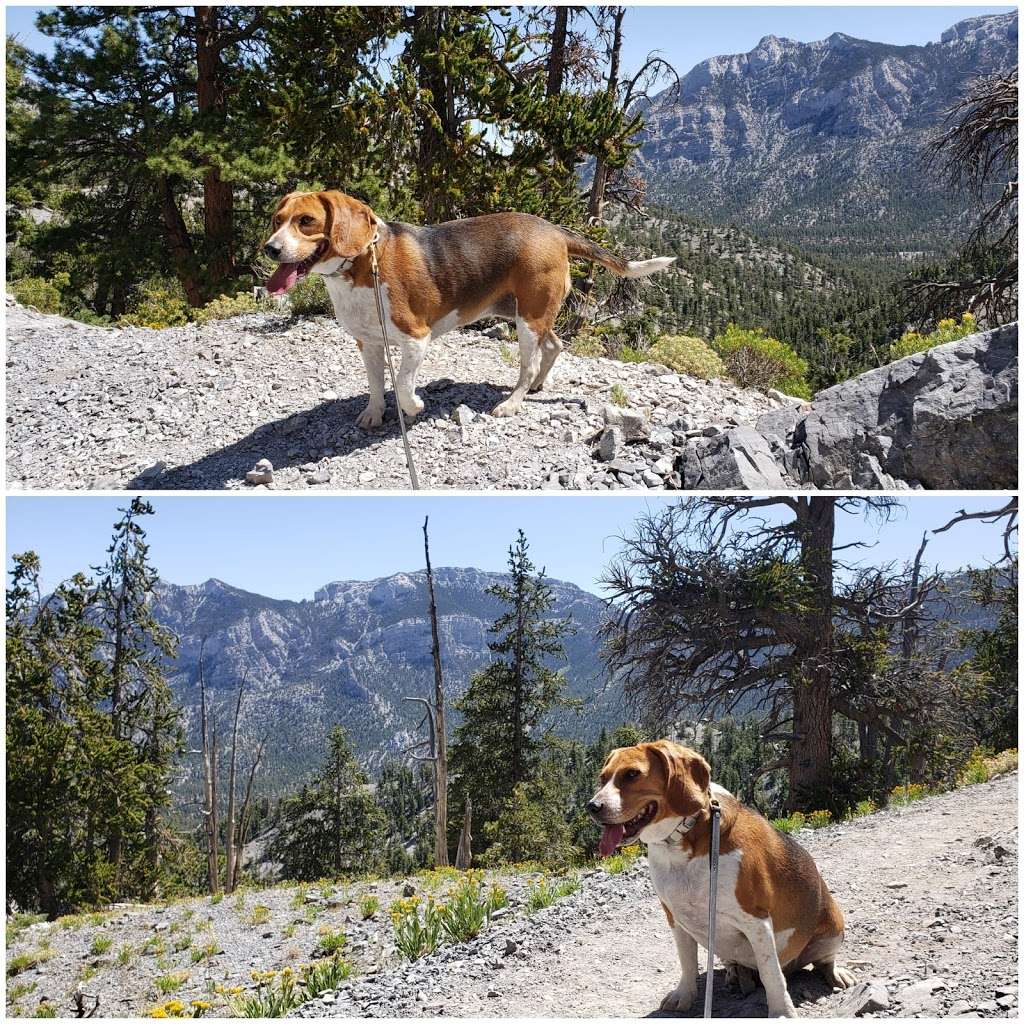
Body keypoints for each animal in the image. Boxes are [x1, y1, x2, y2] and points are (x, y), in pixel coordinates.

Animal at [264, 190, 675, 425]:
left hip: (527, 320)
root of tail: (555, 229)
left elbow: (403, 385)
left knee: (529, 364)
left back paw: (512, 402)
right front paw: (374, 413)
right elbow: (377, 385)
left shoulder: (415, 339)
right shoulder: (369, 343)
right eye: (277, 220)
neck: (362, 262)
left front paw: (414, 408)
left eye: (306, 221)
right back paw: (538, 385)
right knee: (555, 345)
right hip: (527, 313)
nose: (269, 248)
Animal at [589, 745, 851, 1015]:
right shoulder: (675, 918)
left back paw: (836, 973)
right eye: (602, 778)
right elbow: (687, 962)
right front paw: (684, 995)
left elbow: (772, 975)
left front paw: (781, 1012)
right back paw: (737, 973)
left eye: (632, 774)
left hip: (833, 930)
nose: (592, 807)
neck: (681, 841)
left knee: (822, 961)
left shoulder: (757, 921)